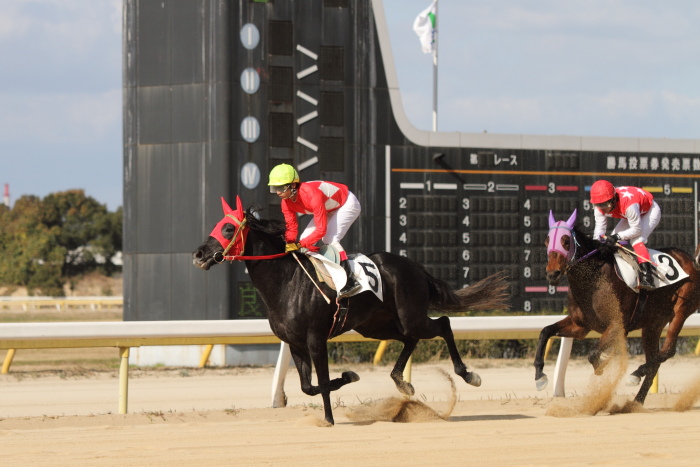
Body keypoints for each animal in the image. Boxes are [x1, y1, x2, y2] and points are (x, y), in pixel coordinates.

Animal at [191, 197, 508, 424]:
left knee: (442, 324)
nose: (199, 254)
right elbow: (308, 386)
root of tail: (415, 266)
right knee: (411, 338)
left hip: (410, 315)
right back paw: (402, 384)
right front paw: (348, 378)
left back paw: (468, 375)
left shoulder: (316, 338)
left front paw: (329, 417)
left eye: (228, 228)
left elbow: (320, 381)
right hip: (375, 326)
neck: (287, 282)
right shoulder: (295, 343)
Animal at [536, 210, 700, 404]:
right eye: (546, 242)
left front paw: (603, 365)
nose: (552, 274)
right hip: (653, 324)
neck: (594, 280)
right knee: (655, 360)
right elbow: (545, 331)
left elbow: (593, 354)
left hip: (681, 310)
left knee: (668, 350)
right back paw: (636, 400)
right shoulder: (580, 326)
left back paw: (635, 374)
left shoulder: (617, 325)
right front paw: (539, 377)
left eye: (566, 241)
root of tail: (691, 260)